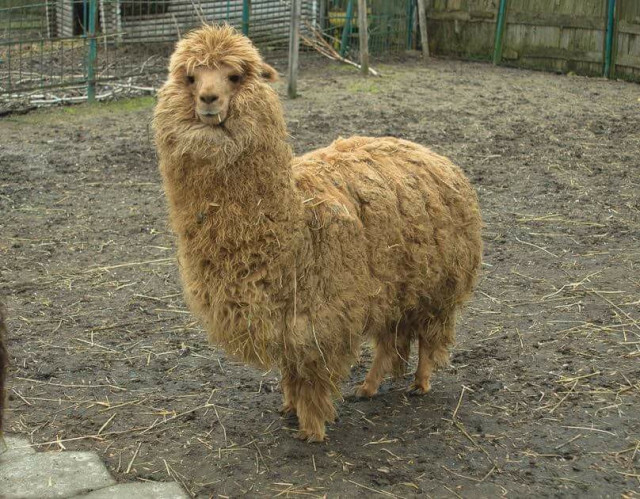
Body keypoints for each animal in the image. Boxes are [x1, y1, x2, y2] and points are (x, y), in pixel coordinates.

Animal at [154, 25, 482, 442]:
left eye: (235, 76)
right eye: (190, 77)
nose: (208, 99)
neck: (293, 221)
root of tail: (433, 154)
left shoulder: (320, 316)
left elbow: (312, 374)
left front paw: (311, 427)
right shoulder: (286, 320)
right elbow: (290, 369)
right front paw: (289, 407)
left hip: (439, 282)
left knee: (427, 334)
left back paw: (419, 384)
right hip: (395, 282)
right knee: (392, 338)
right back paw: (368, 388)